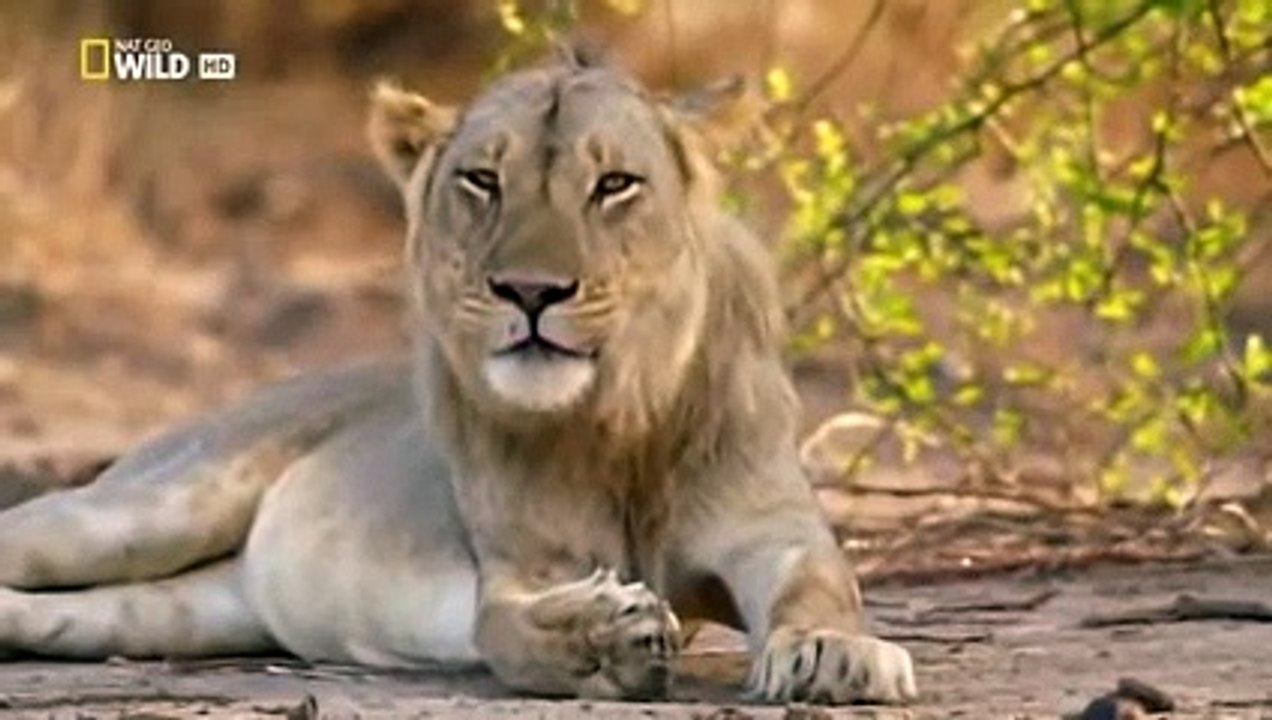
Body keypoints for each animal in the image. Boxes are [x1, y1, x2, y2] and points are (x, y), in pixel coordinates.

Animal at [0, 51, 917, 705]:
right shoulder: (520, 566)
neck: (618, 418)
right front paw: (607, 634)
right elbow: (507, 633)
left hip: (177, 611)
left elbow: (819, 585)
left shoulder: (772, 529)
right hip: (142, 510)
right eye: (483, 180)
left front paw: (835, 656)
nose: (531, 292)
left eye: (614, 184)